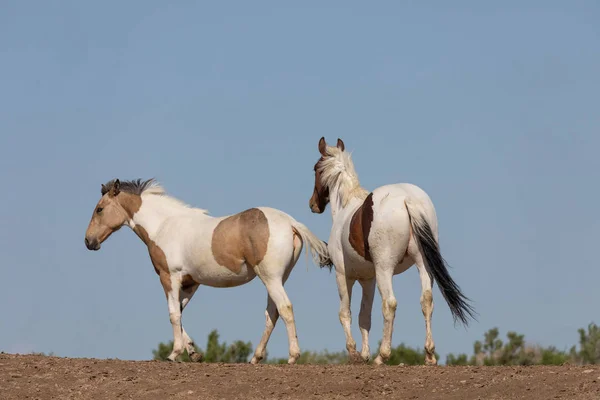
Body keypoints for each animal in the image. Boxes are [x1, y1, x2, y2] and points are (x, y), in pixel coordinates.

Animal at [84, 180, 330, 364]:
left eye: (99, 209)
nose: (88, 241)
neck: (164, 225)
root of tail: (290, 223)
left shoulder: (169, 277)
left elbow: (173, 314)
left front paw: (173, 354)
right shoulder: (190, 283)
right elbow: (180, 312)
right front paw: (193, 353)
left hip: (271, 278)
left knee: (285, 309)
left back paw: (293, 356)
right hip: (277, 279)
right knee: (272, 313)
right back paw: (255, 358)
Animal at [310, 138, 474, 366]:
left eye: (316, 169)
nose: (313, 204)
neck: (346, 206)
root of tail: (407, 199)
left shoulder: (344, 275)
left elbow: (345, 313)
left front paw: (354, 353)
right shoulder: (368, 280)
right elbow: (364, 316)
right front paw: (364, 355)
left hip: (384, 270)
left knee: (390, 304)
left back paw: (382, 356)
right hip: (423, 265)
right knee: (426, 300)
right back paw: (429, 355)